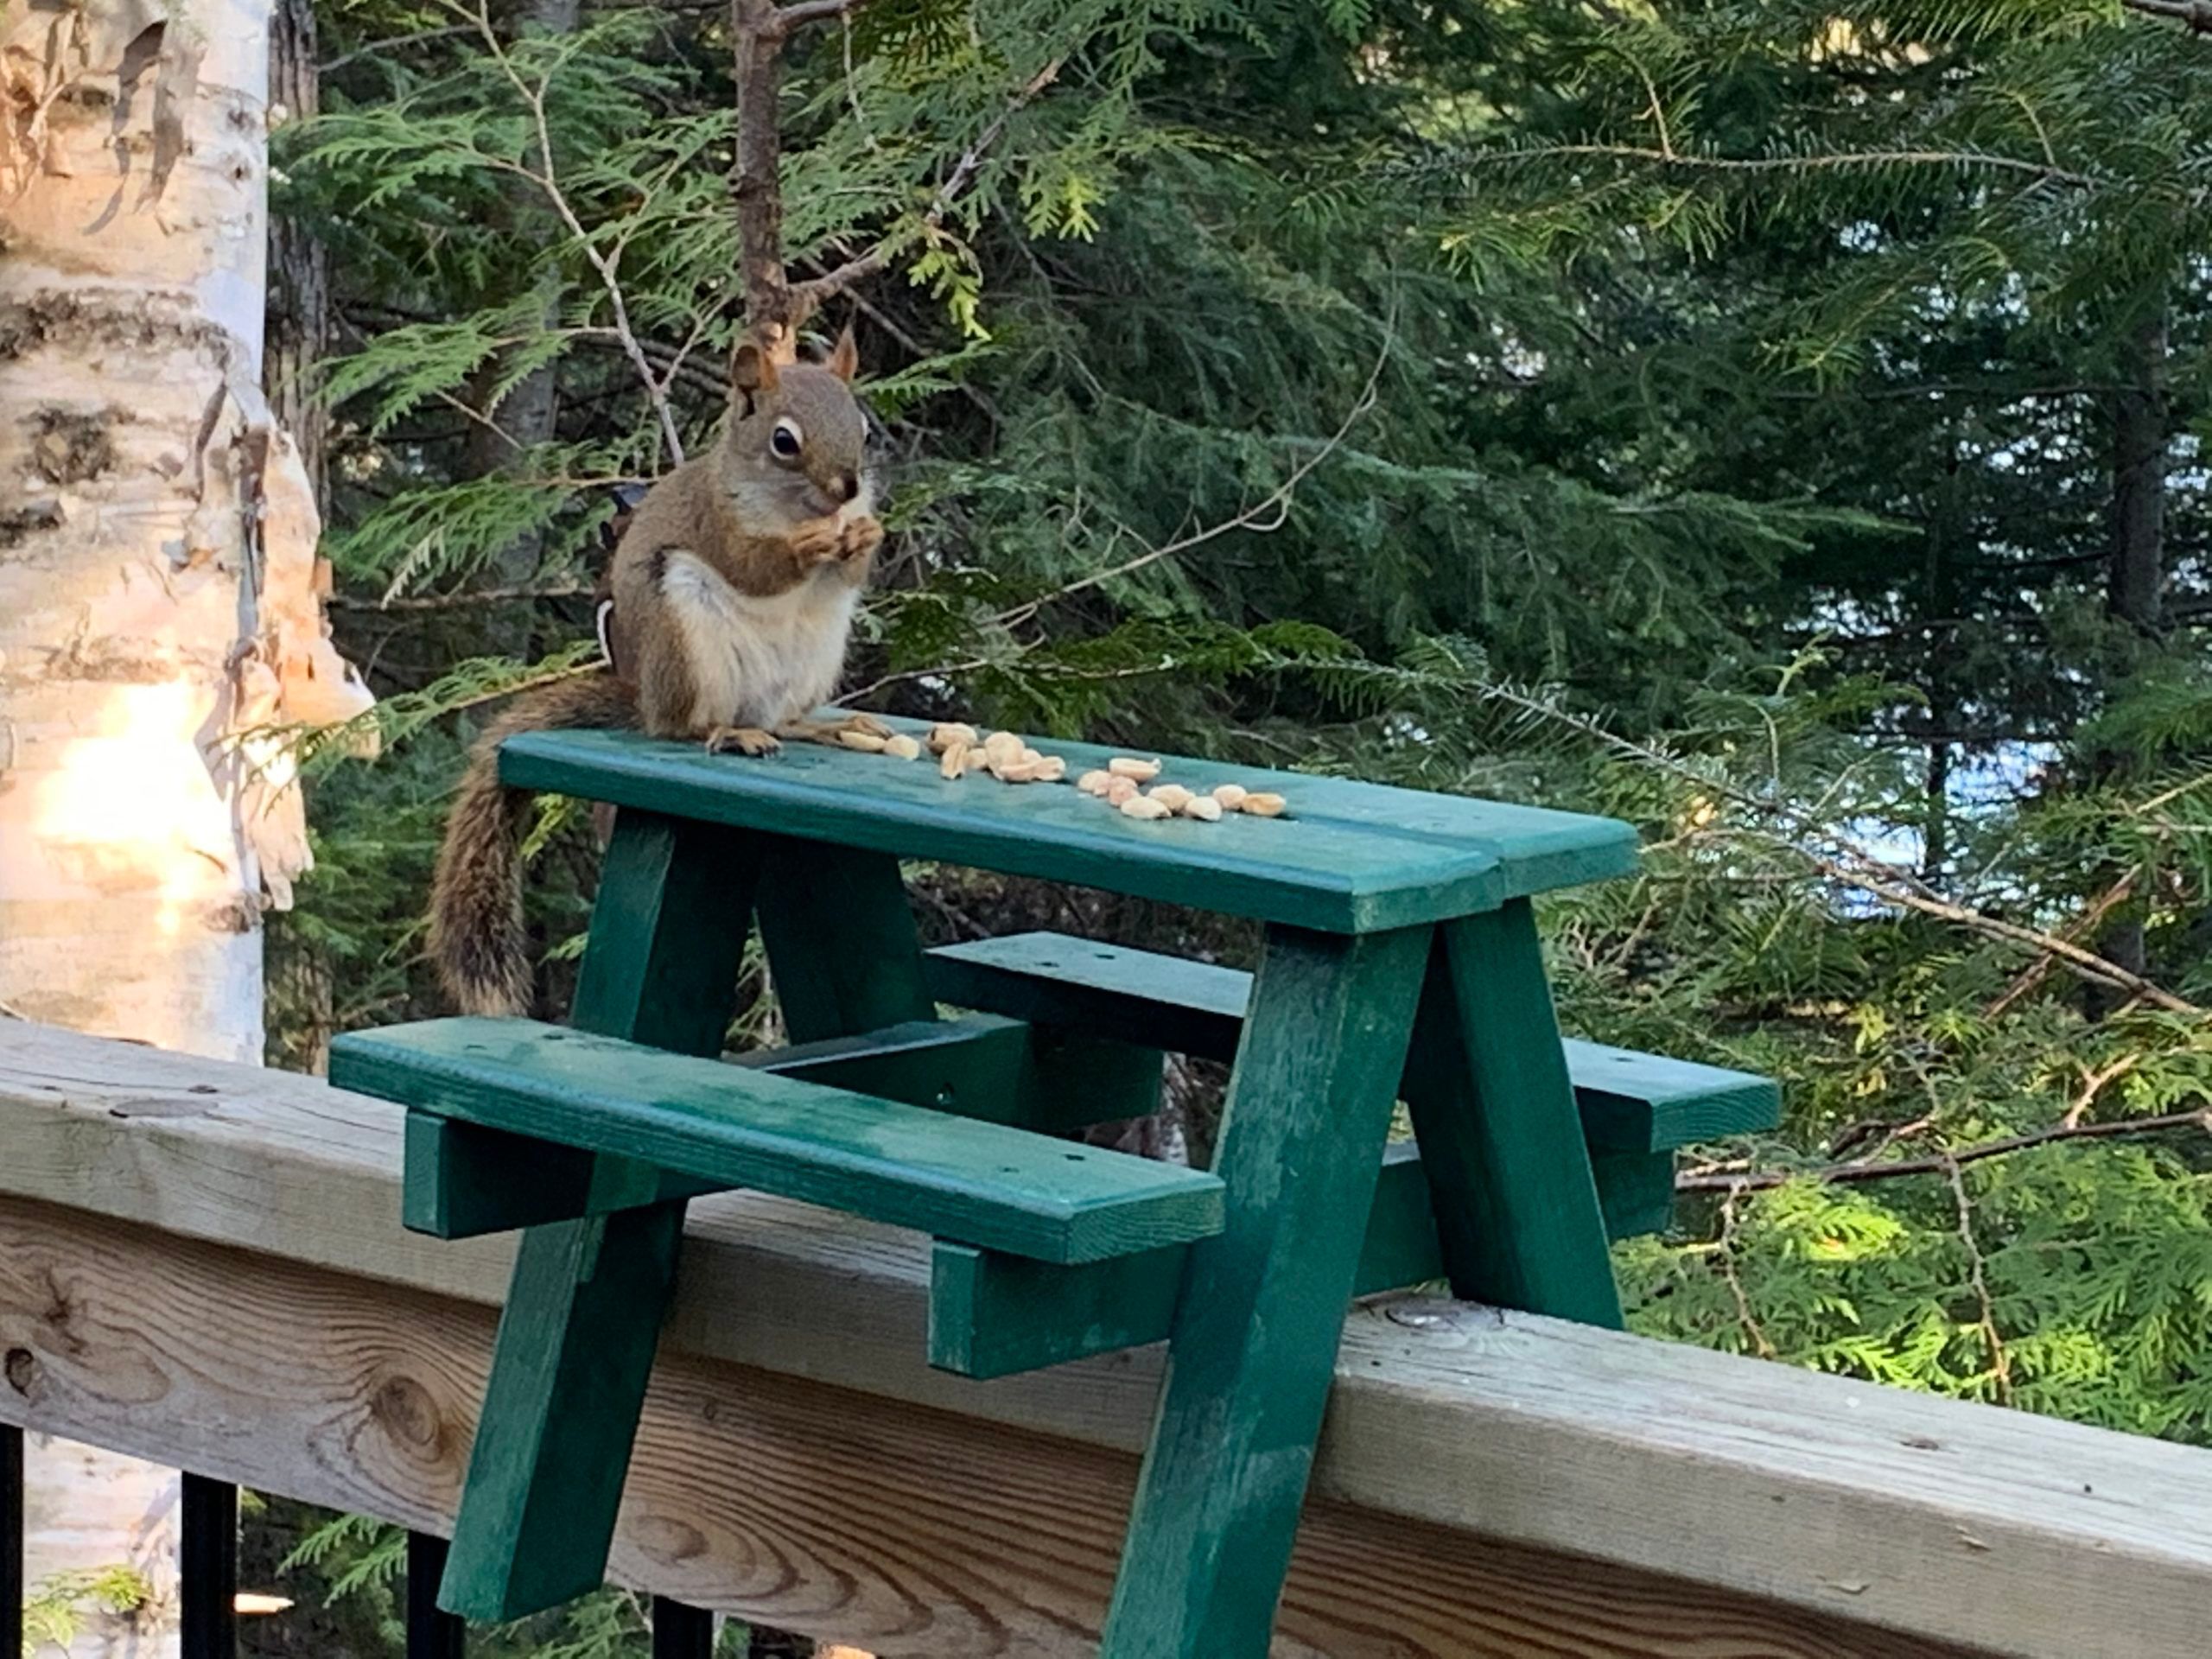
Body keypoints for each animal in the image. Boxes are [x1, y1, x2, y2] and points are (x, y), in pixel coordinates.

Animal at [429, 328, 889, 1017]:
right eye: (784, 441)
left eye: (862, 427)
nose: (847, 487)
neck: (792, 507)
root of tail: (643, 697)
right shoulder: (716, 523)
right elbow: (756, 567)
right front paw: (805, 548)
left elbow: (851, 569)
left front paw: (866, 534)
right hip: (683, 629)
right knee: (682, 725)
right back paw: (725, 732)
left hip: (815, 655)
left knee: (781, 714)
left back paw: (815, 727)